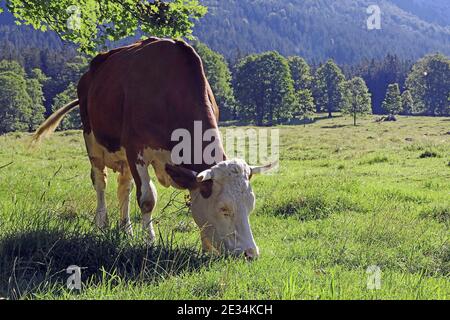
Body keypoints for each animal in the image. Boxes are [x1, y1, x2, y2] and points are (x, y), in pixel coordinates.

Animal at [32, 37, 274, 258]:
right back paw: (102, 224)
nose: (251, 254)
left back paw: (126, 229)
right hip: (92, 142)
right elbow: (147, 199)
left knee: (124, 188)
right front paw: (149, 241)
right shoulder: (135, 150)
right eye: (224, 208)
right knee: (100, 182)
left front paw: (205, 246)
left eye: (250, 205)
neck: (169, 93)